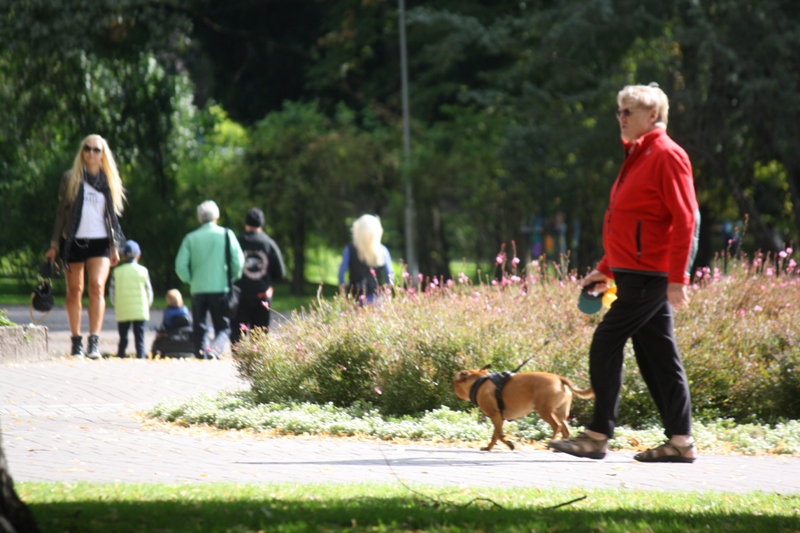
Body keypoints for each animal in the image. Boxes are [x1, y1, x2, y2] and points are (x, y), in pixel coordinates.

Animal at [450, 366, 592, 448]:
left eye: (454, 383)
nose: (452, 389)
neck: (479, 382)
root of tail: (559, 378)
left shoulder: (496, 416)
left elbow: (499, 434)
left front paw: (507, 444)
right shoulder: (500, 418)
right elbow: (496, 434)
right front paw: (491, 447)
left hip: (545, 411)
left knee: (557, 426)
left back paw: (549, 444)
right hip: (560, 413)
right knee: (565, 430)